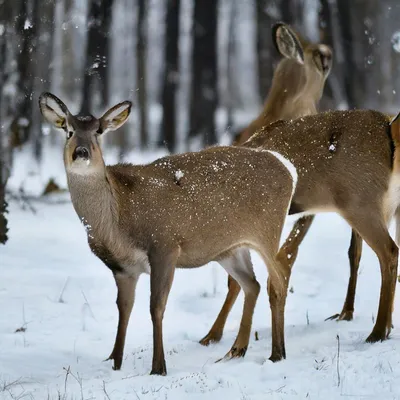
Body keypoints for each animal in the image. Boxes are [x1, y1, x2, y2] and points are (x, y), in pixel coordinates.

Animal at [38, 91, 300, 376]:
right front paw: (114, 362)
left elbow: (156, 306)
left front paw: (158, 367)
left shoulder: (165, 246)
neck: (118, 222)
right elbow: (124, 309)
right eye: (68, 130)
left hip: (267, 229)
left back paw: (278, 352)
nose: (81, 152)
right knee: (251, 284)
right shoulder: (122, 268)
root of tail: (288, 169)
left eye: (98, 131)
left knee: (278, 279)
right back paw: (236, 350)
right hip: (230, 247)